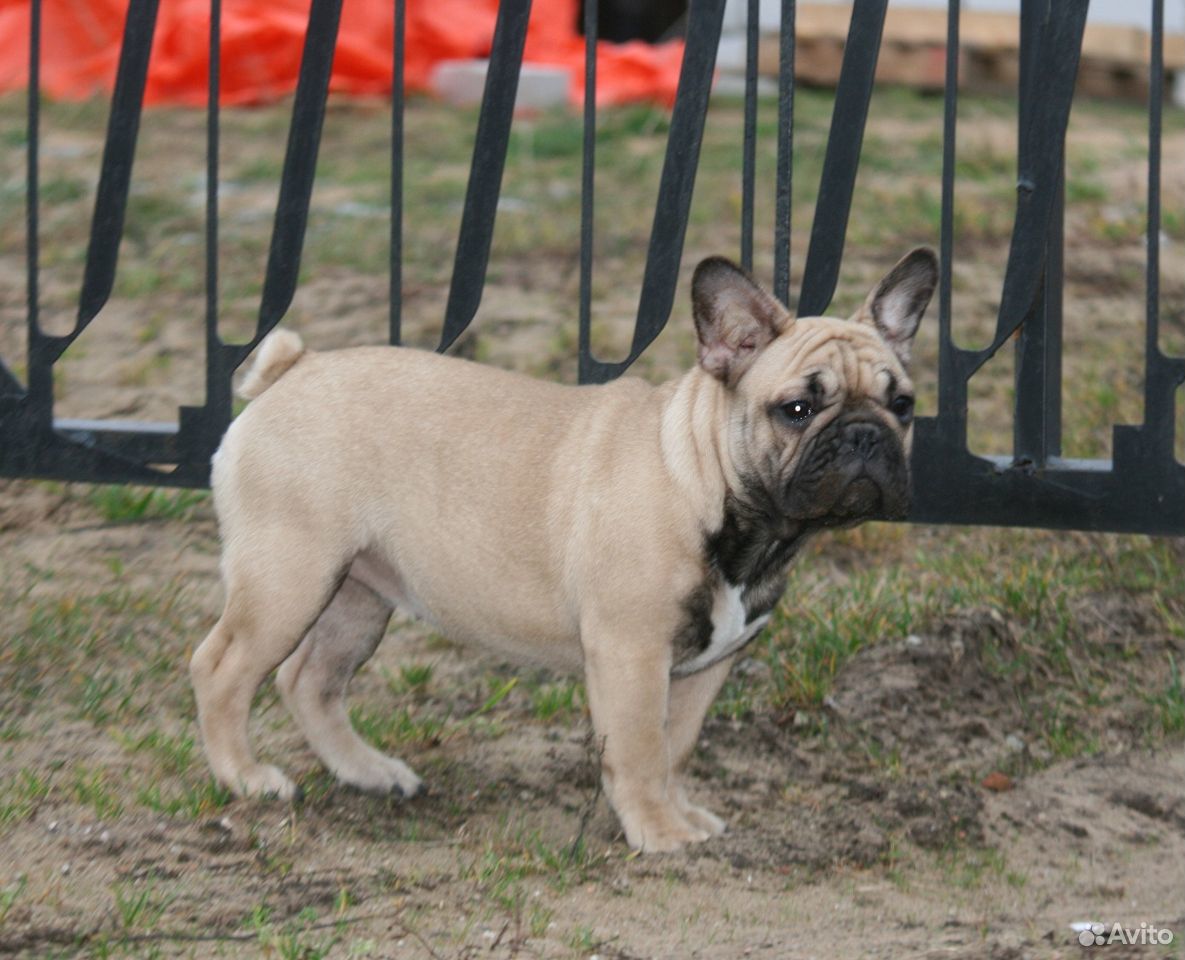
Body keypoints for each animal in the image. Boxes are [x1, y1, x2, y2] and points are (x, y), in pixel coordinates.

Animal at [191, 245, 933, 843]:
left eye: (902, 405)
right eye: (797, 410)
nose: (864, 435)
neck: (709, 485)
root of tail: (293, 369)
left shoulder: (705, 667)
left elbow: (674, 747)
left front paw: (677, 812)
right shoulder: (632, 655)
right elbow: (639, 748)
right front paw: (658, 830)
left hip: (357, 594)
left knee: (309, 680)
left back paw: (368, 771)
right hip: (290, 577)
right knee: (223, 668)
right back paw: (245, 777)